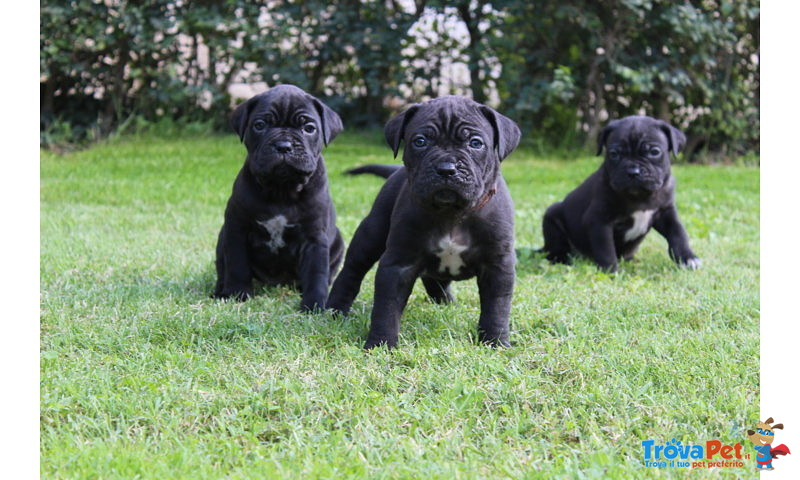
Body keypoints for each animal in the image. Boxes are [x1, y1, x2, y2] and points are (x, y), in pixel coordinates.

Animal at [214, 85, 346, 312]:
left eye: (309, 128)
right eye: (259, 125)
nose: (284, 145)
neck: (281, 190)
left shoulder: (314, 238)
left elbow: (317, 273)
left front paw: (315, 305)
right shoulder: (237, 229)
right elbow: (237, 265)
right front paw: (237, 295)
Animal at [328, 95, 520, 348]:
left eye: (476, 143)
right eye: (420, 141)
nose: (446, 169)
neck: (451, 213)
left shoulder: (498, 264)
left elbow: (496, 307)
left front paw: (495, 342)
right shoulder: (398, 264)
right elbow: (386, 307)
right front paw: (381, 343)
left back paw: (445, 301)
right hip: (371, 234)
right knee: (352, 269)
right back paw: (333, 310)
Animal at [540, 115, 704, 272]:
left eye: (654, 152)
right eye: (614, 154)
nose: (633, 172)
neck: (640, 196)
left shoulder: (665, 213)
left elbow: (678, 233)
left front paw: (688, 258)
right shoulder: (599, 221)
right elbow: (606, 249)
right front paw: (610, 271)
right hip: (551, 218)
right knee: (556, 250)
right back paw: (562, 260)